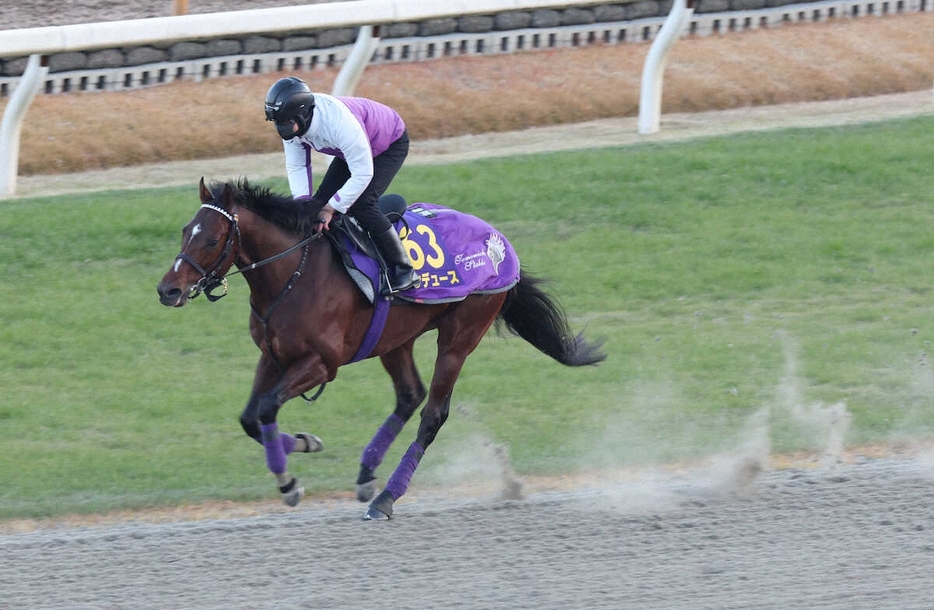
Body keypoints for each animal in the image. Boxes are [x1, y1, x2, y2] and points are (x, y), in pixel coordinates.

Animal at [157, 177, 608, 516]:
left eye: (211, 239)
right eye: (183, 231)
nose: (168, 290)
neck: (294, 273)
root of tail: (500, 244)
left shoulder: (322, 362)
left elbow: (267, 408)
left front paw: (289, 481)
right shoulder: (273, 355)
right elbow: (252, 418)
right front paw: (303, 448)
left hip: (460, 336)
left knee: (432, 415)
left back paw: (387, 496)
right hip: (396, 339)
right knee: (410, 395)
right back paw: (367, 475)